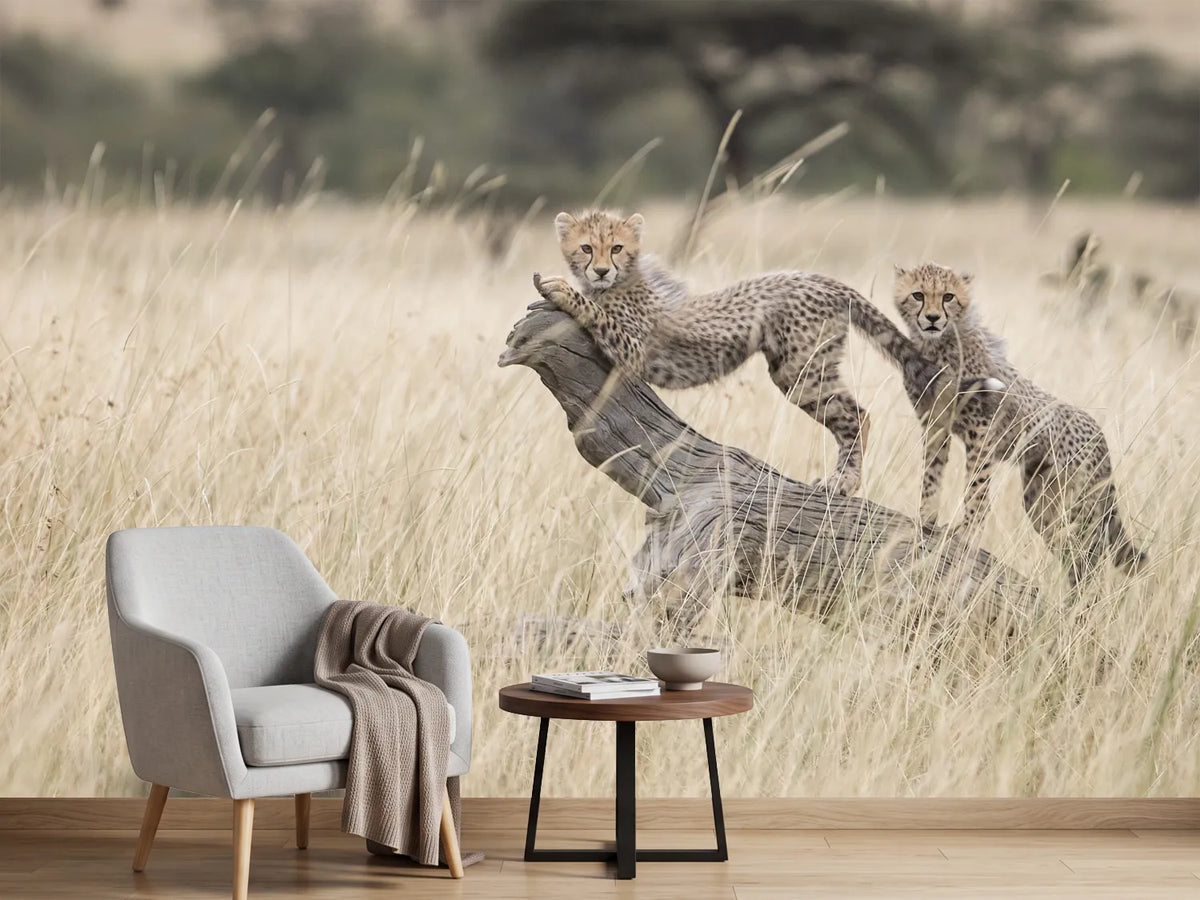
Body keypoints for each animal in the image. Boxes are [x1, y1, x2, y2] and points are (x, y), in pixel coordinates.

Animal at [531, 208, 998, 497]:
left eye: (616, 248)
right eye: (587, 247)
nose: (601, 270)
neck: (622, 281)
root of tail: (821, 278)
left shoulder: (636, 349)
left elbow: (593, 311)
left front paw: (557, 288)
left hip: (800, 369)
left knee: (859, 414)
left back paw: (843, 484)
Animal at [894, 262, 1145, 584]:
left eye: (948, 296)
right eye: (918, 295)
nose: (933, 318)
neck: (937, 344)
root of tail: (1097, 430)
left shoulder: (981, 429)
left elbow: (976, 490)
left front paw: (966, 534)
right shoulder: (935, 423)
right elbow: (931, 475)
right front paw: (926, 520)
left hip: (1080, 502)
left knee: (1092, 551)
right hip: (1041, 499)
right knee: (1071, 551)